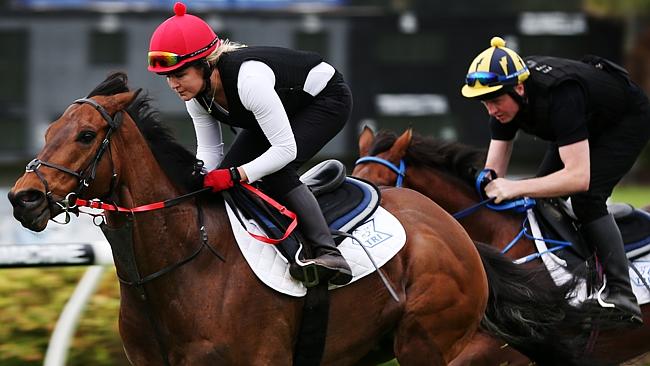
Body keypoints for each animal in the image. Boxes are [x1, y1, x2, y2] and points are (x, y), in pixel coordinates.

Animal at [5, 73, 494, 364]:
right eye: (49, 132)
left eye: (86, 135)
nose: (22, 198)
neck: (188, 261)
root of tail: (450, 225)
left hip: (424, 341)